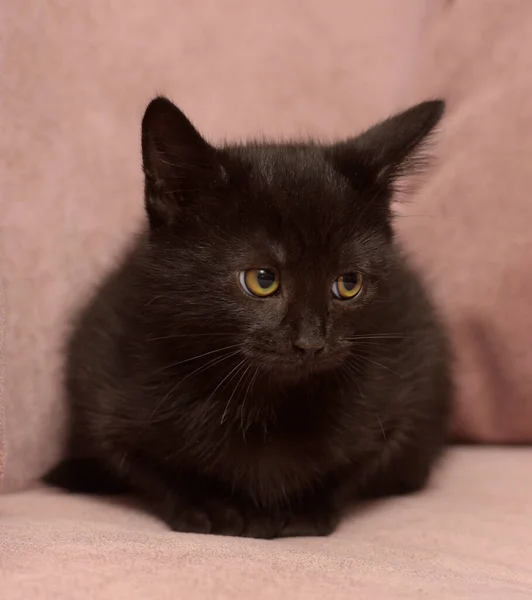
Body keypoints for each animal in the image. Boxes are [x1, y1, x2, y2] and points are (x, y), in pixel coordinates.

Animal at [46, 96, 454, 536]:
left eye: (348, 283)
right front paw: (209, 505)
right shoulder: (101, 379)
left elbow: (360, 467)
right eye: (262, 279)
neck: (265, 401)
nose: (312, 341)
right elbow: (144, 466)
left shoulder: (411, 382)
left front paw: (303, 509)